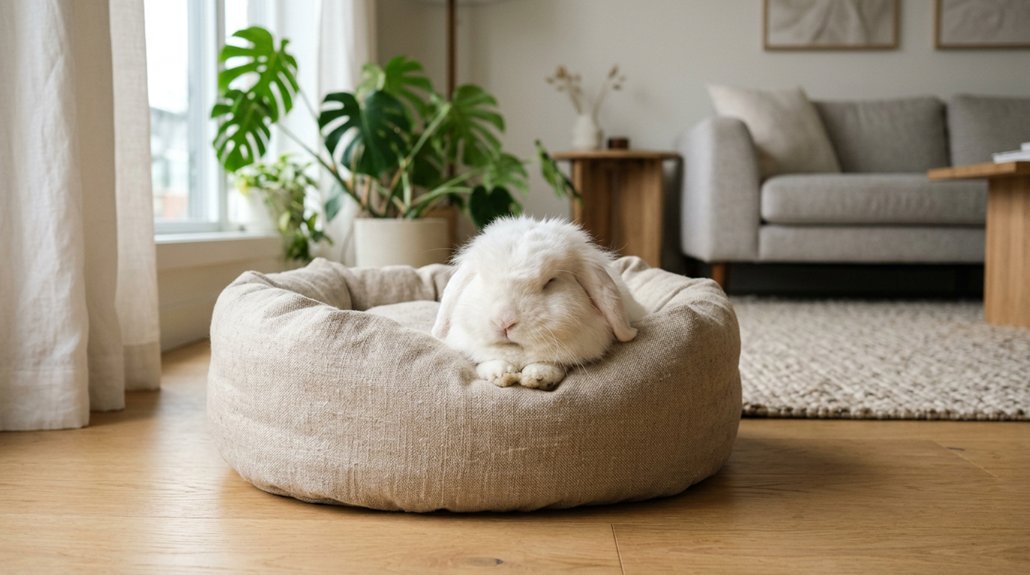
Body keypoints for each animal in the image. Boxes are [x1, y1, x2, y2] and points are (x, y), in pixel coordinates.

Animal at [432, 216, 646, 391]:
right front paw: (501, 374)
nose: (504, 321)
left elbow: (552, 363)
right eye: (483, 279)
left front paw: (538, 377)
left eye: (550, 281)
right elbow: (487, 361)